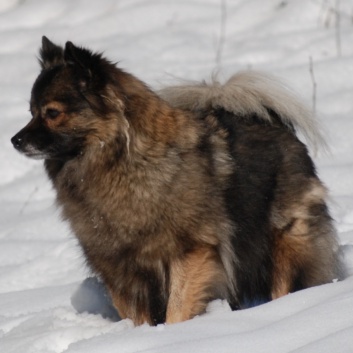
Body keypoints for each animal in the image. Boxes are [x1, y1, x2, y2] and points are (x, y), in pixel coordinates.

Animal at [11, 36, 340, 324]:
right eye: (31, 112)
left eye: (52, 113)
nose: (15, 140)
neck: (123, 163)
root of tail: (274, 123)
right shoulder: (121, 268)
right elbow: (136, 316)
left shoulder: (189, 251)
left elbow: (177, 307)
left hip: (284, 242)